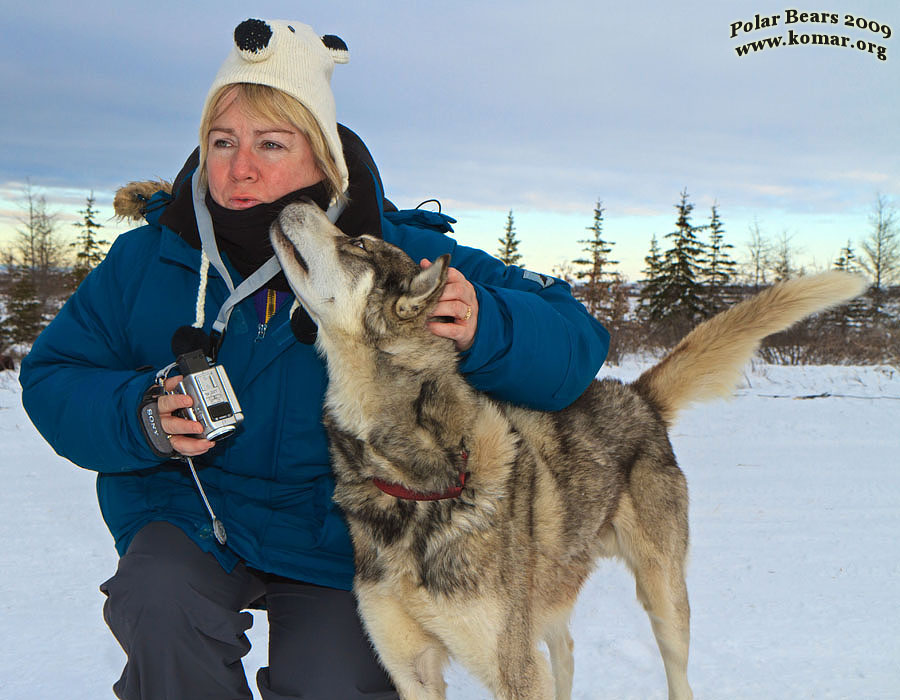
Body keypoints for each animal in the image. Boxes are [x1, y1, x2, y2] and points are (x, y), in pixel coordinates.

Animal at [272, 200, 864, 696]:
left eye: (358, 243)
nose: (297, 200)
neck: (412, 482)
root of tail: (637, 395)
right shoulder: (413, 670)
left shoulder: (512, 669)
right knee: (567, 651)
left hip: (664, 601)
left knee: (677, 674)